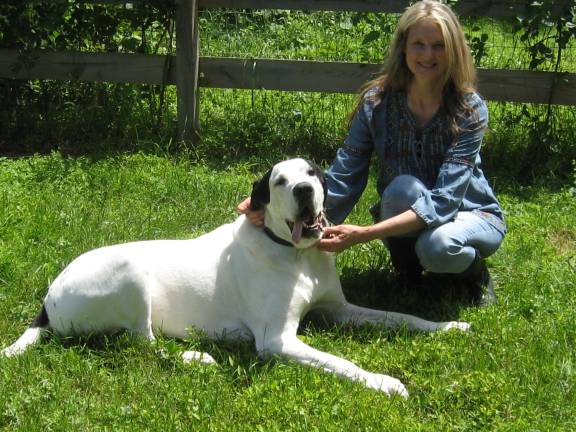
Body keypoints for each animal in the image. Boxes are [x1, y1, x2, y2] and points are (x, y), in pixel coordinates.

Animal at [1, 157, 468, 396]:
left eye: (312, 174)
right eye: (279, 181)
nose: (304, 191)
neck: (296, 256)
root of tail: (47, 301)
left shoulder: (339, 309)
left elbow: (400, 318)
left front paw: (449, 325)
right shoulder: (277, 341)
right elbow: (341, 361)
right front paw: (384, 382)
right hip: (130, 272)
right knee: (142, 345)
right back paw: (197, 356)